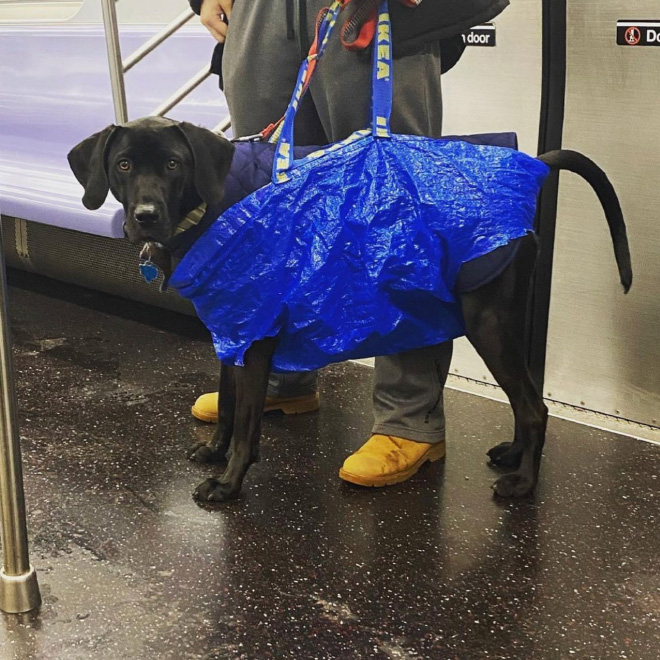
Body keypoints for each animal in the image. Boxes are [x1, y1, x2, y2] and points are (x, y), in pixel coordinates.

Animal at [68, 117, 636, 500]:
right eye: (123, 165)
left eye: (173, 164)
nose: (145, 216)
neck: (210, 205)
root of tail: (530, 166)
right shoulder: (231, 331)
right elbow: (228, 405)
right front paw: (214, 450)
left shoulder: (256, 339)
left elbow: (248, 419)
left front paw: (229, 482)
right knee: (527, 400)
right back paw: (514, 455)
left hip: (489, 322)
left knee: (535, 407)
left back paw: (523, 481)